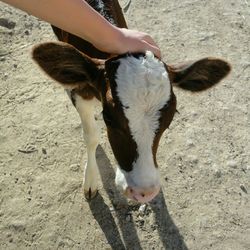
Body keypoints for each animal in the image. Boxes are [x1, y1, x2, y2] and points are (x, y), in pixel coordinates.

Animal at [31, 0, 230, 203]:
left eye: (170, 119)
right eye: (108, 119)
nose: (144, 192)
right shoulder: (82, 91)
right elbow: (91, 136)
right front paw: (90, 180)